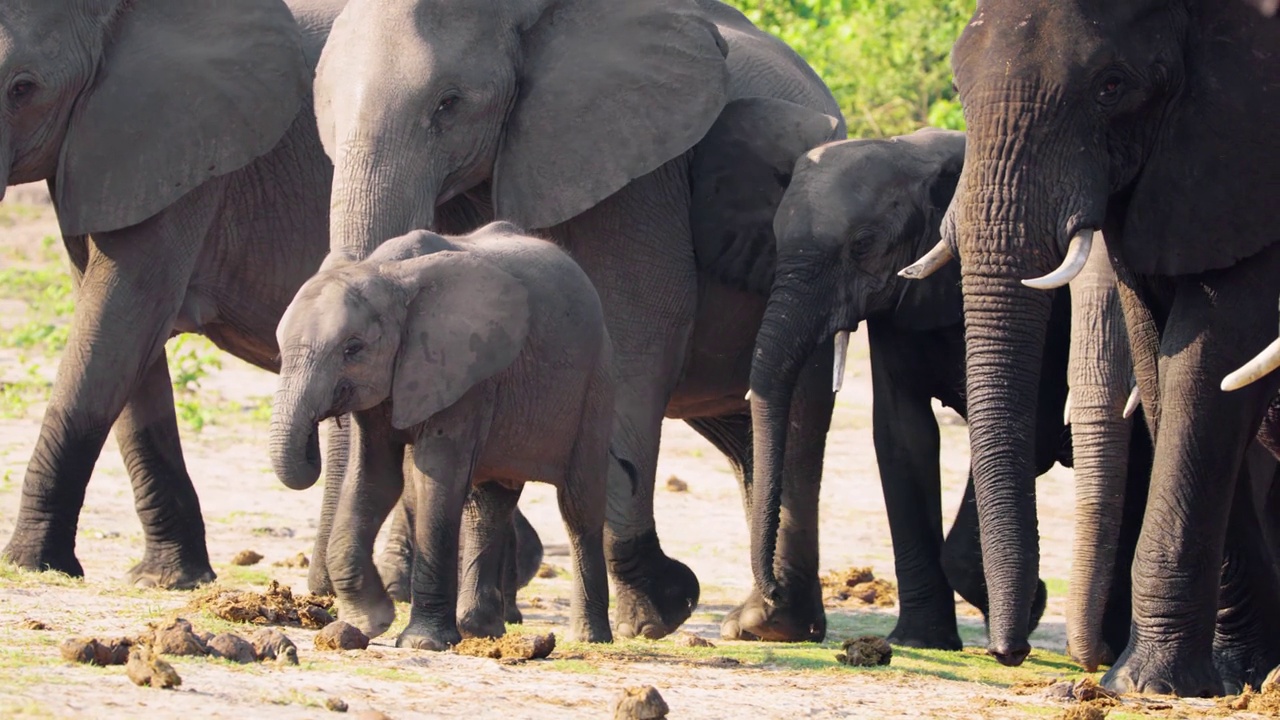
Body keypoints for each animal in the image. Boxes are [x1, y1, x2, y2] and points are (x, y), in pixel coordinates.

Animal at [271, 221, 614, 648]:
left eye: (353, 348)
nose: (314, 437)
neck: (387, 274)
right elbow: (374, 478)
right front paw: (370, 622)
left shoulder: (463, 371)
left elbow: (435, 478)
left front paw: (421, 642)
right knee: (489, 504)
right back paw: (480, 630)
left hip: (596, 383)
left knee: (578, 505)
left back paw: (590, 637)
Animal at [901, 0, 1280, 696]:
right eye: (960, 86)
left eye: (1112, 86)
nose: (1009, 652)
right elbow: (1162, 366)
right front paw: (1229, 676)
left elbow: (1211, 358)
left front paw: (1145, 686)